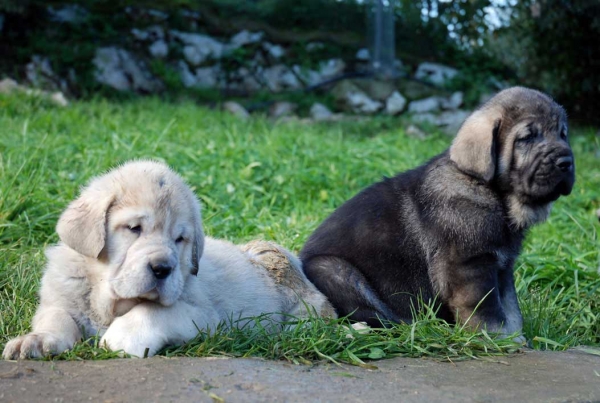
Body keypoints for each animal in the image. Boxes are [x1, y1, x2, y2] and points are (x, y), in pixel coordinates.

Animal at [2, 161, 336, 360]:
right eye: (134, 228)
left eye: (180, 239)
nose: (162, 268)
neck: (106, 299)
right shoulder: (61, 297)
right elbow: (56, 317)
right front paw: (36, 341)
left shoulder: (206, 317)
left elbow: (153, 311)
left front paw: (120, 337)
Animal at [302, 87, 576, 338]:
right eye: (527, 138)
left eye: (563, 134)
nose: (566, 162)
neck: (489, 190)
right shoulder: (470, 267)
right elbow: (487, 310)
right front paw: (496, 338)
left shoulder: (502, 268)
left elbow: (510, 309)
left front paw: (514, 338)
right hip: (331, 269)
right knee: (372, 314)